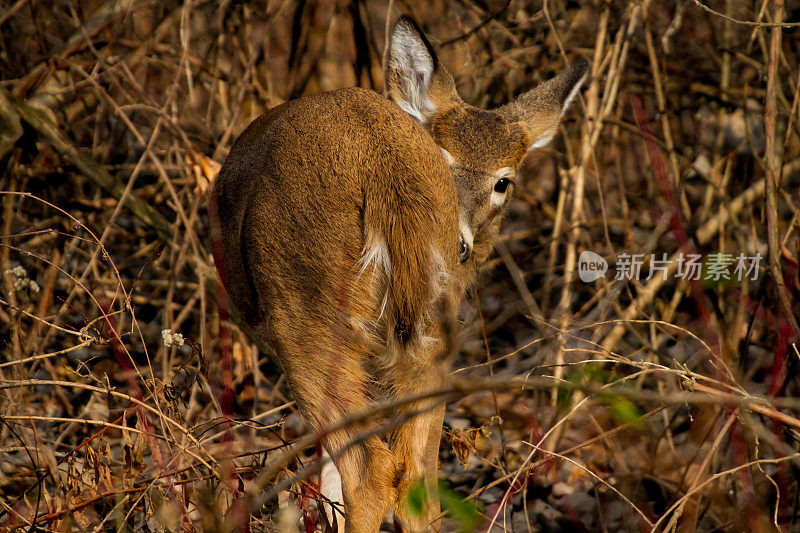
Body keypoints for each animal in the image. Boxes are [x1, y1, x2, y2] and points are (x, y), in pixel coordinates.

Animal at [212, 15, 588, 532]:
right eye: (445, 158)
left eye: (502, 181)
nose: (462, 245)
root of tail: (384, 163)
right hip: (434, 327)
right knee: (417, 477)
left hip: (307, 311)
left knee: (369, 470)